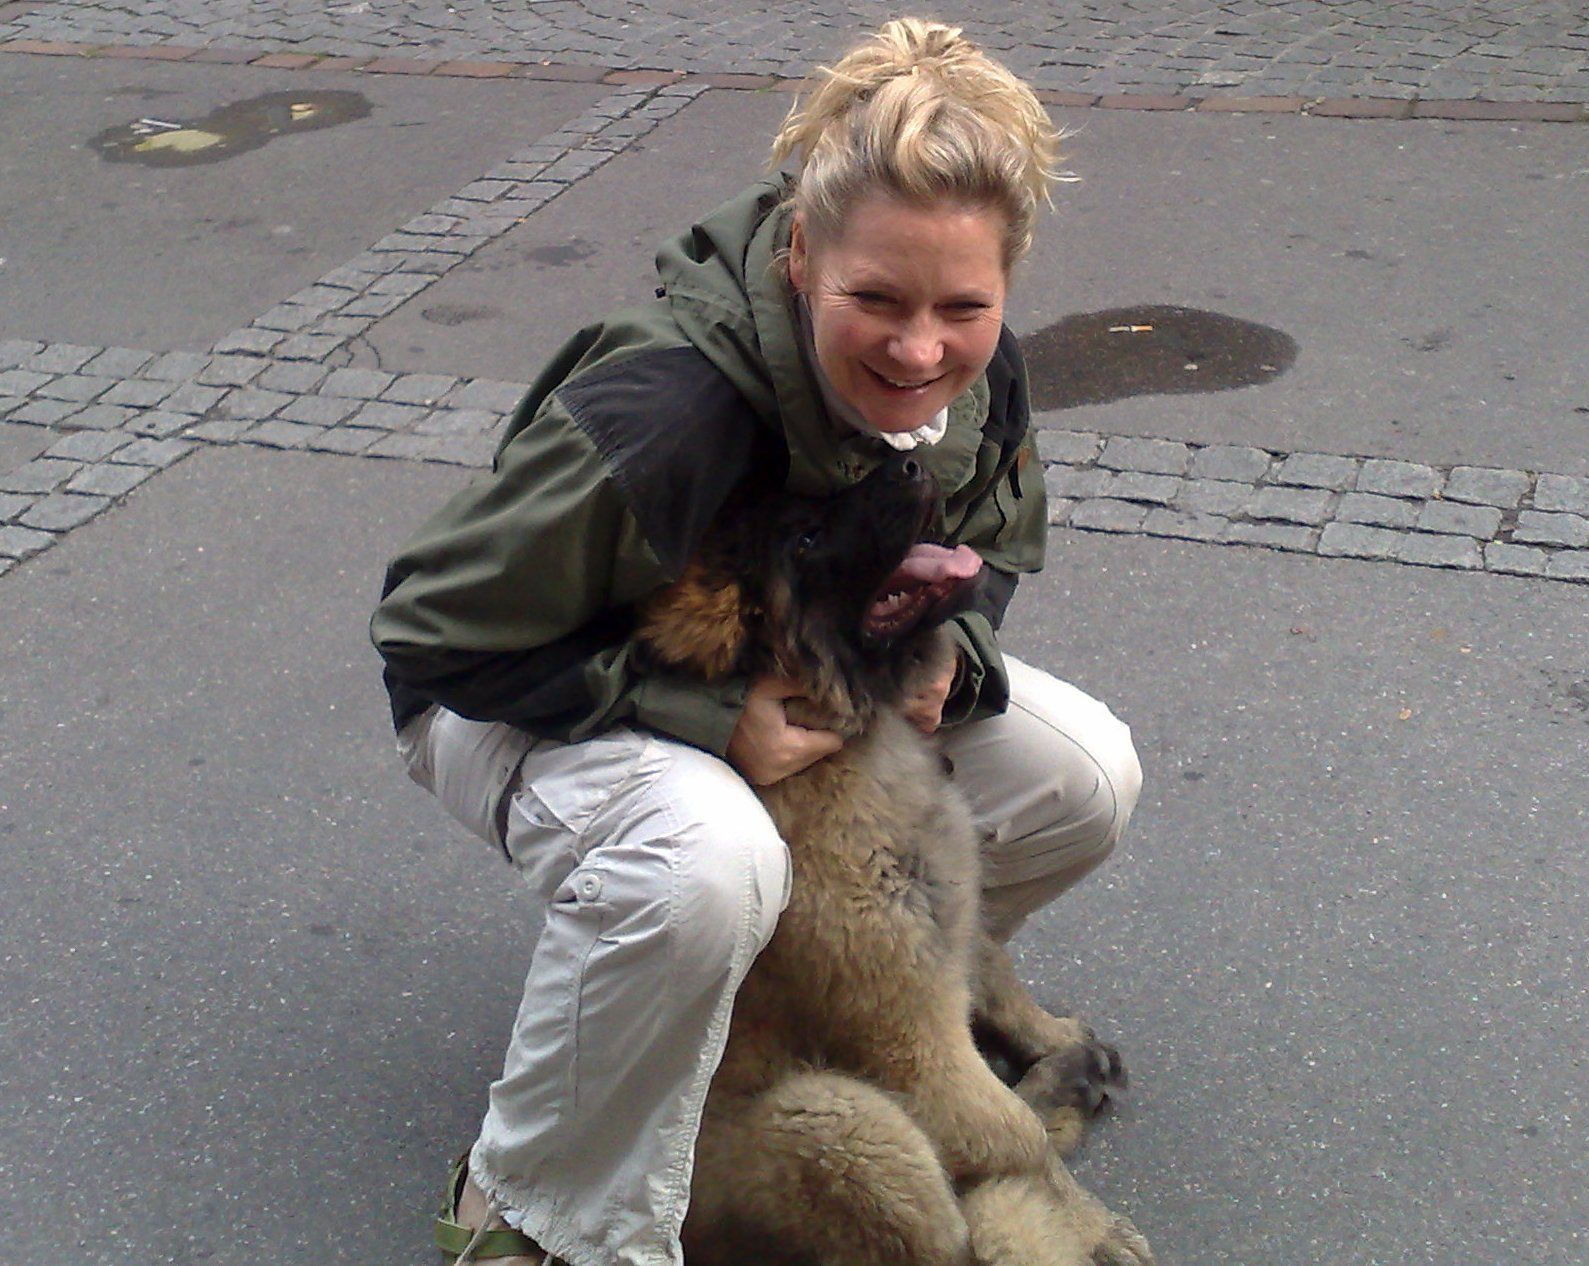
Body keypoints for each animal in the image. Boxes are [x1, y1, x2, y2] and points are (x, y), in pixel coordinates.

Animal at [637, 454, 1153, 1266]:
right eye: (805, 539)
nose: (907, 463)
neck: (854, 731)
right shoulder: (909, 1027)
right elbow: (1016, 1140)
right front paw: (1093, 1228)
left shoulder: (949, 922)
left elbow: (997, 978)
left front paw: (1056, 1039)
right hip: (836, 1116)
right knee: (960, 1229)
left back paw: (1070, 1075)